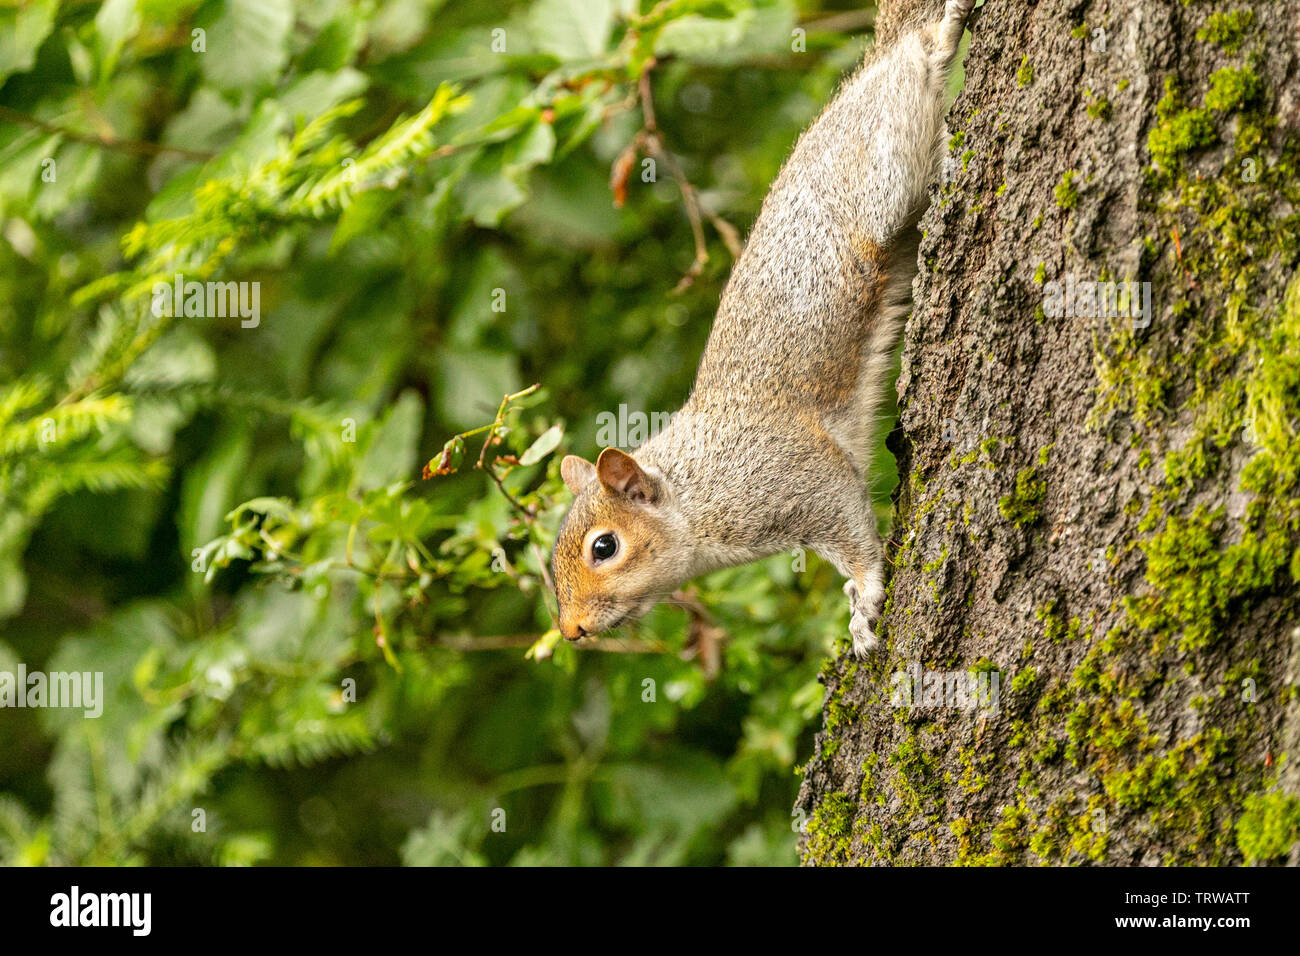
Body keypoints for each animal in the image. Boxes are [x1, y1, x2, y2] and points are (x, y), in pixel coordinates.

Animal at [548, 0, 977, 658]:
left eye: (605, 547)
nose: (570, 630)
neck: (696, 494)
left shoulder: (793, 479)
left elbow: (852, 528)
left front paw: (865, 599)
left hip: (885, 162)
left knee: (915, 58)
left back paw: (943, 29)